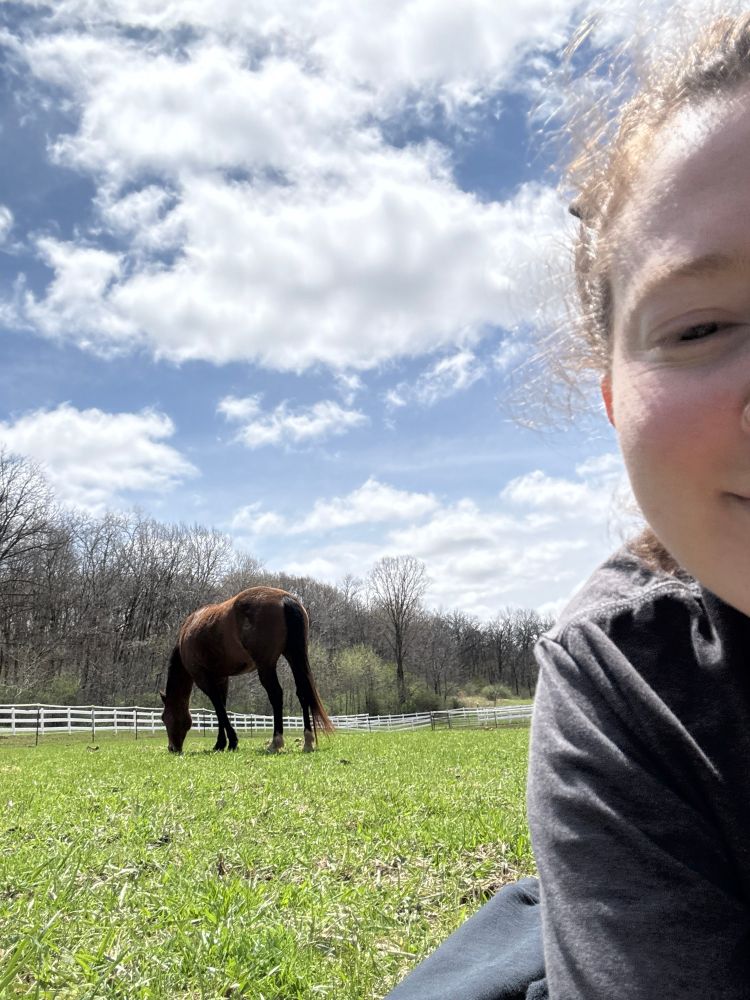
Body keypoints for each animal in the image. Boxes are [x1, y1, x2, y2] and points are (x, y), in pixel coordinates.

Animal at [160, 586, 333, 754]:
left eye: (164, 718)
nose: (172, 748)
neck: (187, 633)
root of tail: (284, 599)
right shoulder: (222, 678)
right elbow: (221, 708)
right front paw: (221, 743)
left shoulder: (203, 678)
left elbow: (219, 708)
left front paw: (230, 742)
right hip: (293, 657)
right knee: (302, 693)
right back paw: (308, 742)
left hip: (266, 666)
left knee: (276, 695)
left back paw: (275, 743)